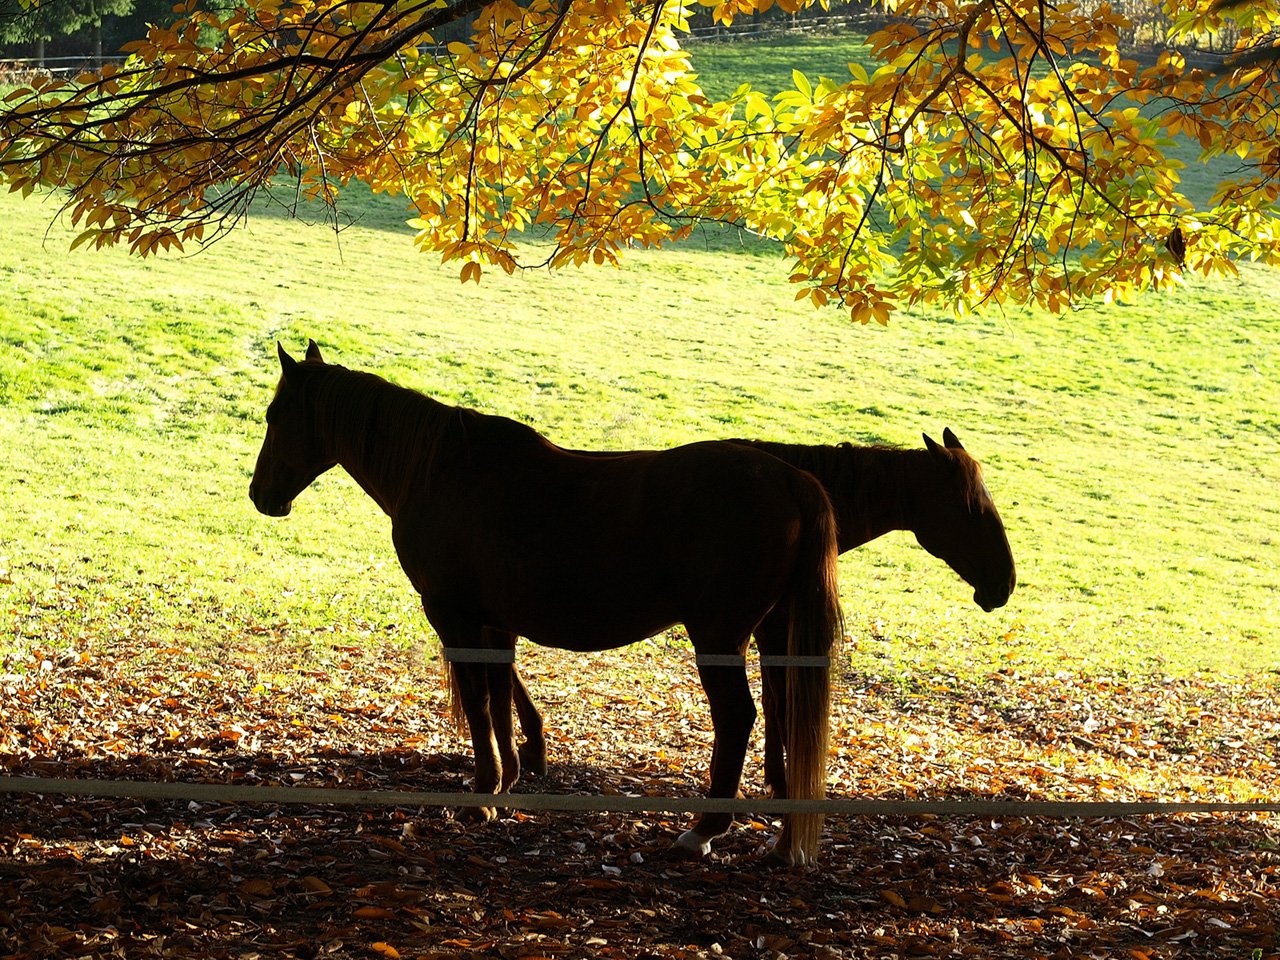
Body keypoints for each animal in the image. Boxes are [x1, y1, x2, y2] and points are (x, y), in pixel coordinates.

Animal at [249, 343, 849, 870]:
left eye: (276, 416)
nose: (260, 495)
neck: (439, 470)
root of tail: (791, 478)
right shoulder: (494, 624)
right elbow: (499, 696)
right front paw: (507, 782)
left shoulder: (454, 615)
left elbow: (479, 702)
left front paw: (482, 797)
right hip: (774, 634)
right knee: (785, 715)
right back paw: (783, 836)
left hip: (719, 636)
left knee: (737, 717)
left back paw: (703, 831)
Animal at [504, 432, 1013, 798]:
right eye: (970, 509)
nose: (1005, 584)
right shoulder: (771, 629)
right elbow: (777, 701)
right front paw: (778, 782)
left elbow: (774, 699)